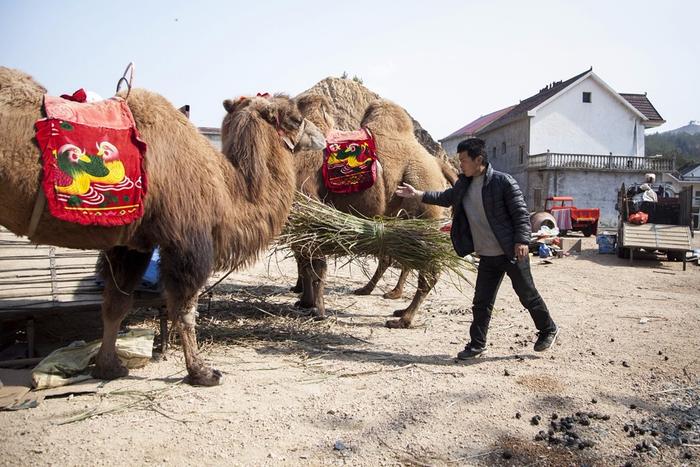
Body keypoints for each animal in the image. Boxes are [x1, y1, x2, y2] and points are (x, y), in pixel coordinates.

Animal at [0, 66, 326, 388]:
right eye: (296, 119)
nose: (322, 138)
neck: (226, 189)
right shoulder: (186, 242)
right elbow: (184, 309)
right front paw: (202, 372)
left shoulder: (130, 244)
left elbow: (115, 304)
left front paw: (109, 367)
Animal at [288, 94, 454, 330]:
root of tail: (438, 164)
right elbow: (305, 261)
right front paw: (304, 302)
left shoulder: (310, 207)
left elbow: (314, 264)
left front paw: (316, 309)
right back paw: (388, 299)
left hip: (424, 200)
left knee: (426, 270)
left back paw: (403, 319)